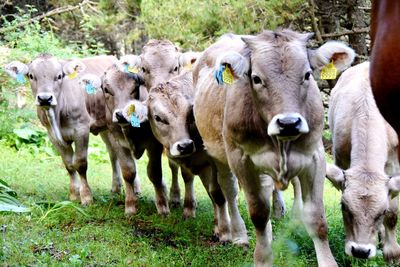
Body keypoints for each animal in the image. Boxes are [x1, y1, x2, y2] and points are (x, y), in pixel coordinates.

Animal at [192, 30, 354, 266]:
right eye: (256, 78)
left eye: (307, 75)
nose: (288, 123)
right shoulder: (242, 160)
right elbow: (258, 213)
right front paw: (262, 258)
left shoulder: (314, 158)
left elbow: (317, 219)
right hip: (218, 155)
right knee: (228, 191)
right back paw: (235, 233)